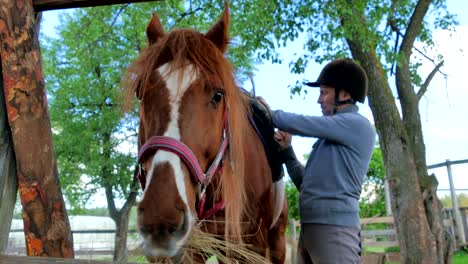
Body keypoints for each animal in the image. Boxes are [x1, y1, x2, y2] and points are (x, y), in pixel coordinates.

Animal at [124, 3, 288, 262]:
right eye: (141, 94)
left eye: (218, 95)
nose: (160, 216)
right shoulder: (192, 251)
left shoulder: (252, 248)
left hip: (277, 240)